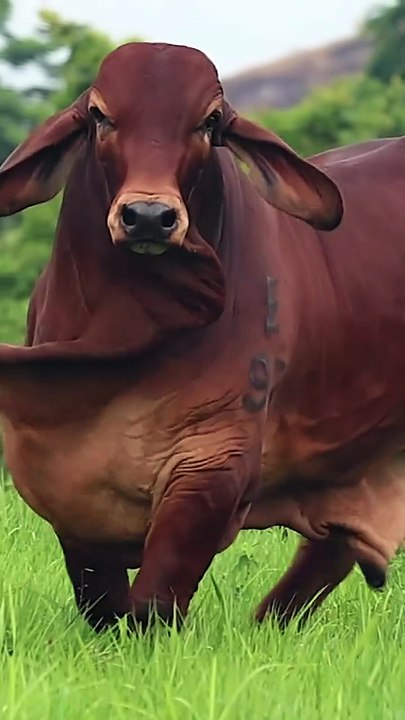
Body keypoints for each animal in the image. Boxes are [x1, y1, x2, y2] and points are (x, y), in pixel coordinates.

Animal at [0, 41, 404, 633]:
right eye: (99, 115)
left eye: (210, 122)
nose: (149, 216)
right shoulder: (66, 480)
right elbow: (103, 601)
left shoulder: (214, 462)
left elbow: (154, 600)